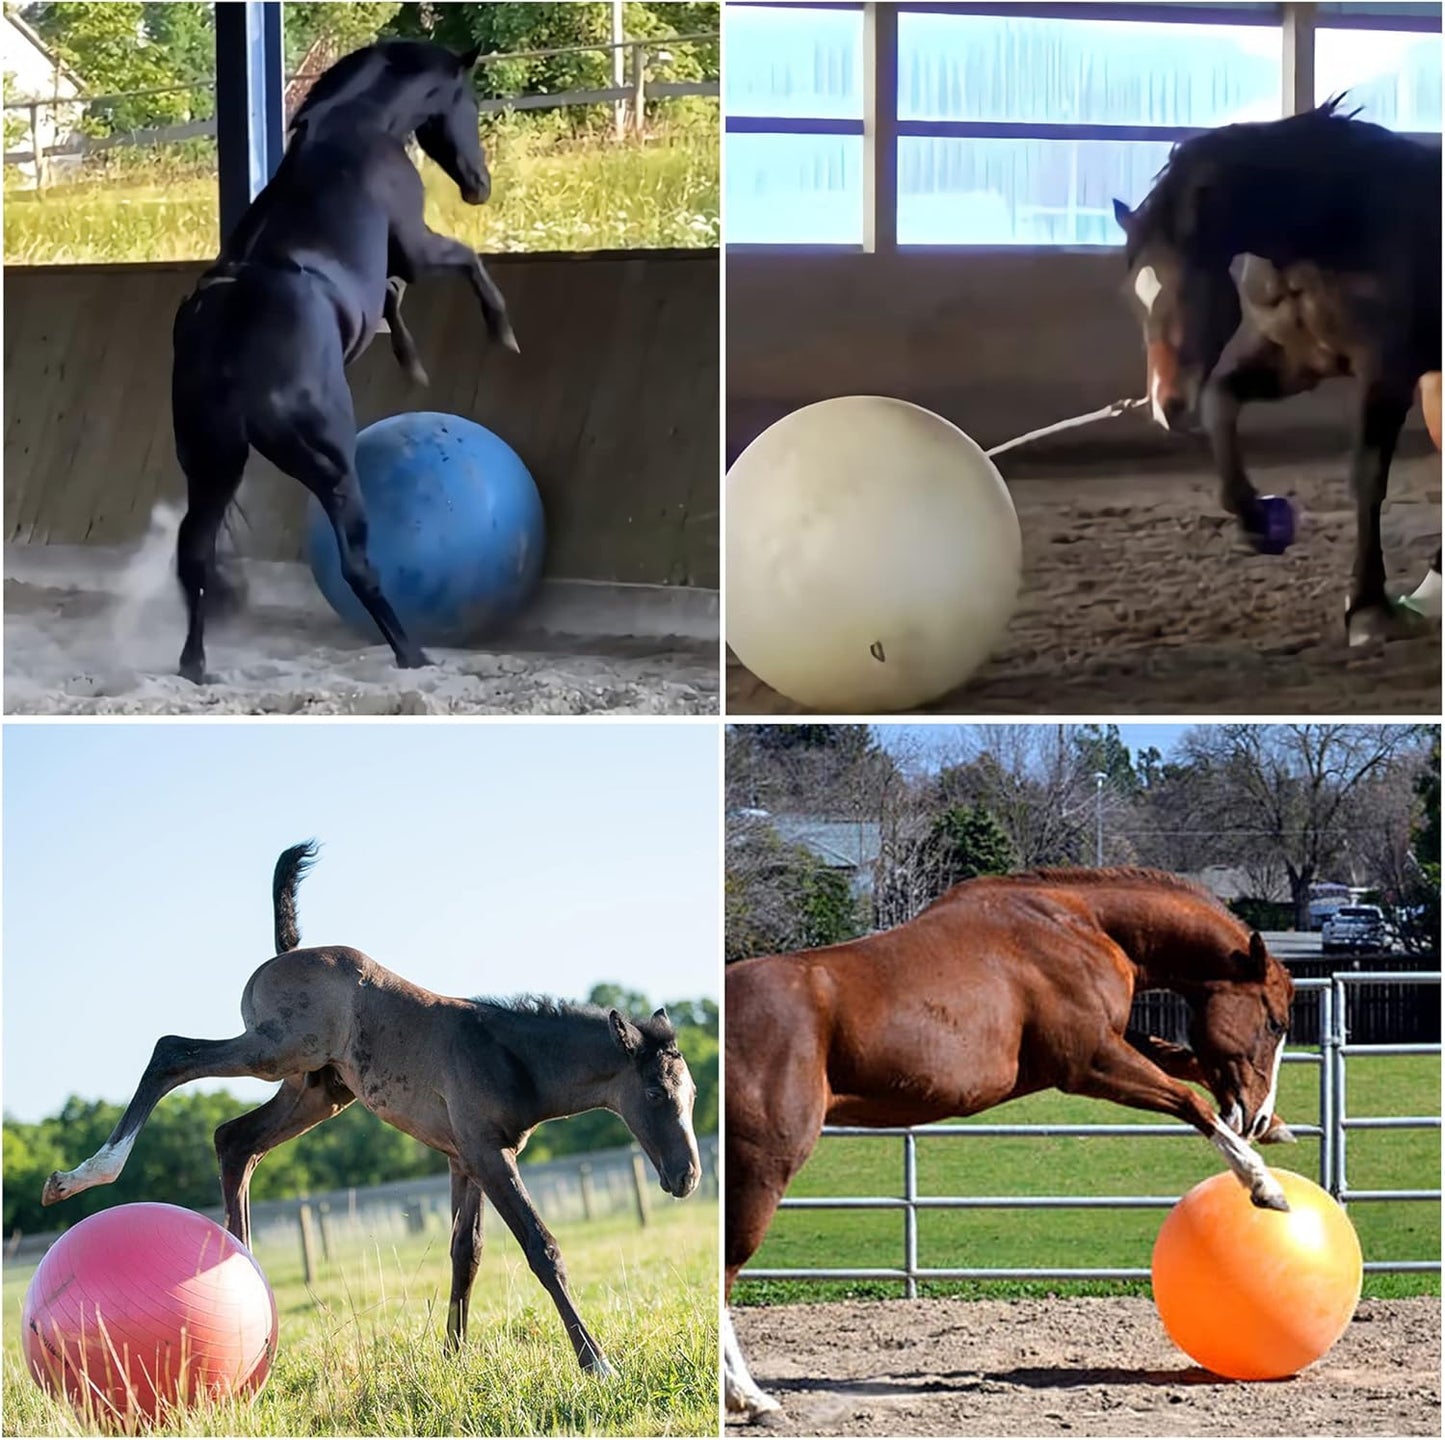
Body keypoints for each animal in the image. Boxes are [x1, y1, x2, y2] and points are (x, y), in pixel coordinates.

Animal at [41, 842, 701, 1376]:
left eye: (692, 1096)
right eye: (654, 1094)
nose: (687, 1176)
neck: (508, 1053)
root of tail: (285, 952)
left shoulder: (466, 1160)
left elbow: (467, 1255)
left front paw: (452, 1357)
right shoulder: (490, 1156)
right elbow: (542, 1249)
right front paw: (596, 1363)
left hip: (314, 1091)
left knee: (235, 1139)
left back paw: (248, 1284)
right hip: (277, 1051)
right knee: (172, 1053)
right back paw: (82, 1177)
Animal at [171, 40, 519, 684]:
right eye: (471, 102)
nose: (479, 185)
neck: (352, 130)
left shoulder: (391, 269)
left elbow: (391, 298)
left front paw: (412, 362)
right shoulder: (415, 245)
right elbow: (463, 261)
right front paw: (501, 332)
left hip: (211, 468)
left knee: (196, 557)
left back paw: (195, 666)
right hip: (332, 468)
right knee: (358, 566)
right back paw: (412, 655)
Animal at [722, 867, 1296, 1421]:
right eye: (1274, 1022)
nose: (1254, 1114)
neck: (1078, 924)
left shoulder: (1109, 1044)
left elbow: (1181, 1059)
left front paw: (1276, 1128)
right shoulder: (1090, 1062)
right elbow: (1189, 1100)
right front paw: (1264, 1186)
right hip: (764, 1170)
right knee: (726, 1275)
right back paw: (752, 1400)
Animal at [1112, 99, 1441, 646]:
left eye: (1190, 289)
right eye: (1133, 295)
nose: (1166, 404)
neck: (1341, 220)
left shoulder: (1387, 374)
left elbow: (1368, 478)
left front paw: (1367, 607)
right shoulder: (1298, 364)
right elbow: (1221, 400)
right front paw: (1256, 518)